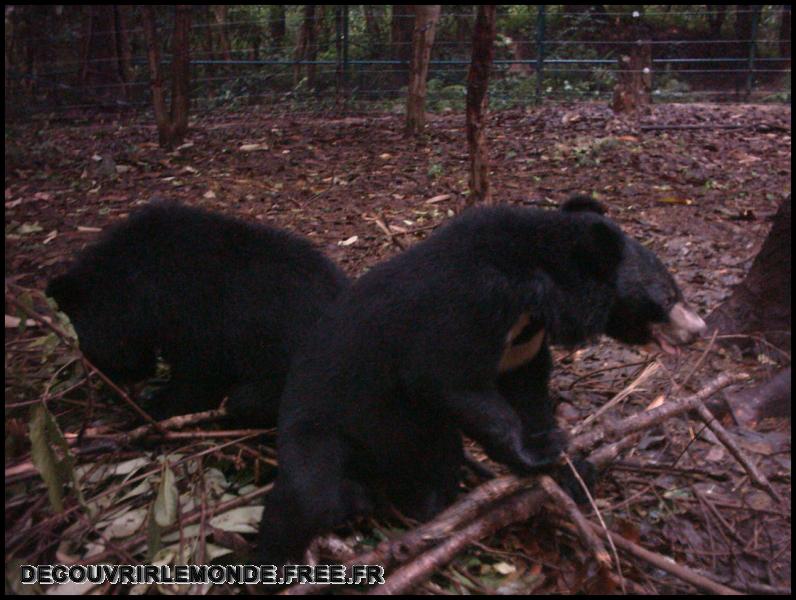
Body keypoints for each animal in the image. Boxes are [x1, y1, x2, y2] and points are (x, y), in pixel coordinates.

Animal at [256, 197, 704, 568]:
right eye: (668, 295)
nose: (698, 329)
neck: (539, 284)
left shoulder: (526, 337)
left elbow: (527, 387)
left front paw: (572, 467)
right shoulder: (472, 303)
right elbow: (451, 378)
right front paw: (539, 455)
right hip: (334, 421)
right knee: (313, 495)